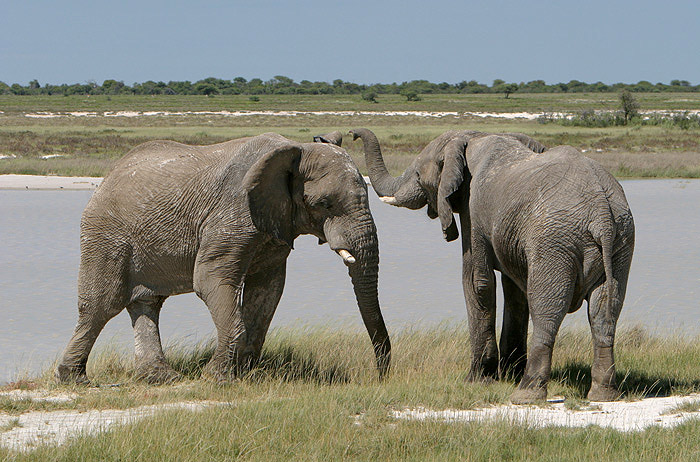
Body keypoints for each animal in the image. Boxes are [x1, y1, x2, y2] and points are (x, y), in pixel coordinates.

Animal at [56, 133, 392, 382]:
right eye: (324, 204)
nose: (379, 376)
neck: (294, 150)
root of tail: (106, 177)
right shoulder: (231, 214)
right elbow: (210, 281)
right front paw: (216, 378)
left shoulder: (275, 225)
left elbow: (267, 291)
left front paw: (244, 375)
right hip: (106, 234)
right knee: (102, 305)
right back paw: (74, 379)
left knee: (147, 302)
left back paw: (160, 378)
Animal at [352, 128, 632, 402]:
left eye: (419, 175)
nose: (353, 134)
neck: (471, 136)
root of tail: (601, 212)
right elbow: (515, 291)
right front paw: (507, 373)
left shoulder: (473, 208)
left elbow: (476, 282)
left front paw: (477, 378)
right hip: (621, 242)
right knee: (605, 312)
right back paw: (603, 395)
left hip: (555, 242)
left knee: (547, 308)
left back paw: (525, 394)